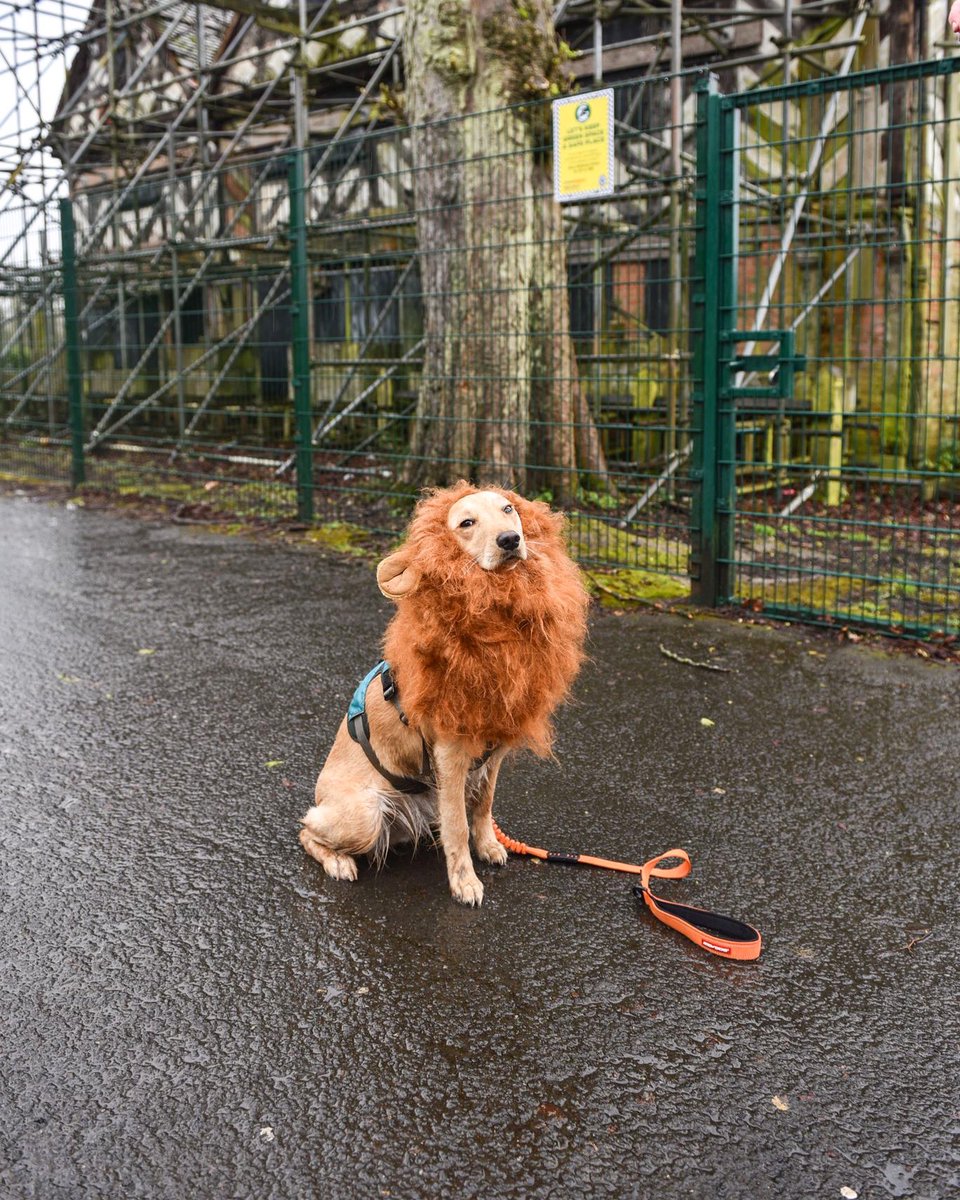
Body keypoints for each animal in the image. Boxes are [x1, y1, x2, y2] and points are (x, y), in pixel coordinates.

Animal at [300, 482, 588, 902]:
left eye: (508, 509)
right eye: (466, 523)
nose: (510, 540)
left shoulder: (493, 751)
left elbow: (483, 806)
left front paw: (488, 846)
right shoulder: (450, 754)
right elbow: (457, 825)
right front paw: (465, 881)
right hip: (364, 814)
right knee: (306, 829)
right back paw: (339, 862)